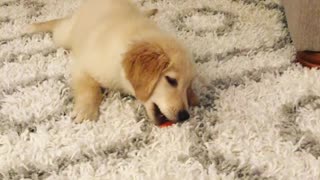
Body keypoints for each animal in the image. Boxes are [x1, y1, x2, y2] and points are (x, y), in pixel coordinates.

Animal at [28, 0, 199, 124]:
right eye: (171, 80)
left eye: (187, 87)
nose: (185, 116)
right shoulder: (83, 65)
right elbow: (89, 88)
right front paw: (86, 111)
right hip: (64, 37)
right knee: (59, 23)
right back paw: (31, 27)